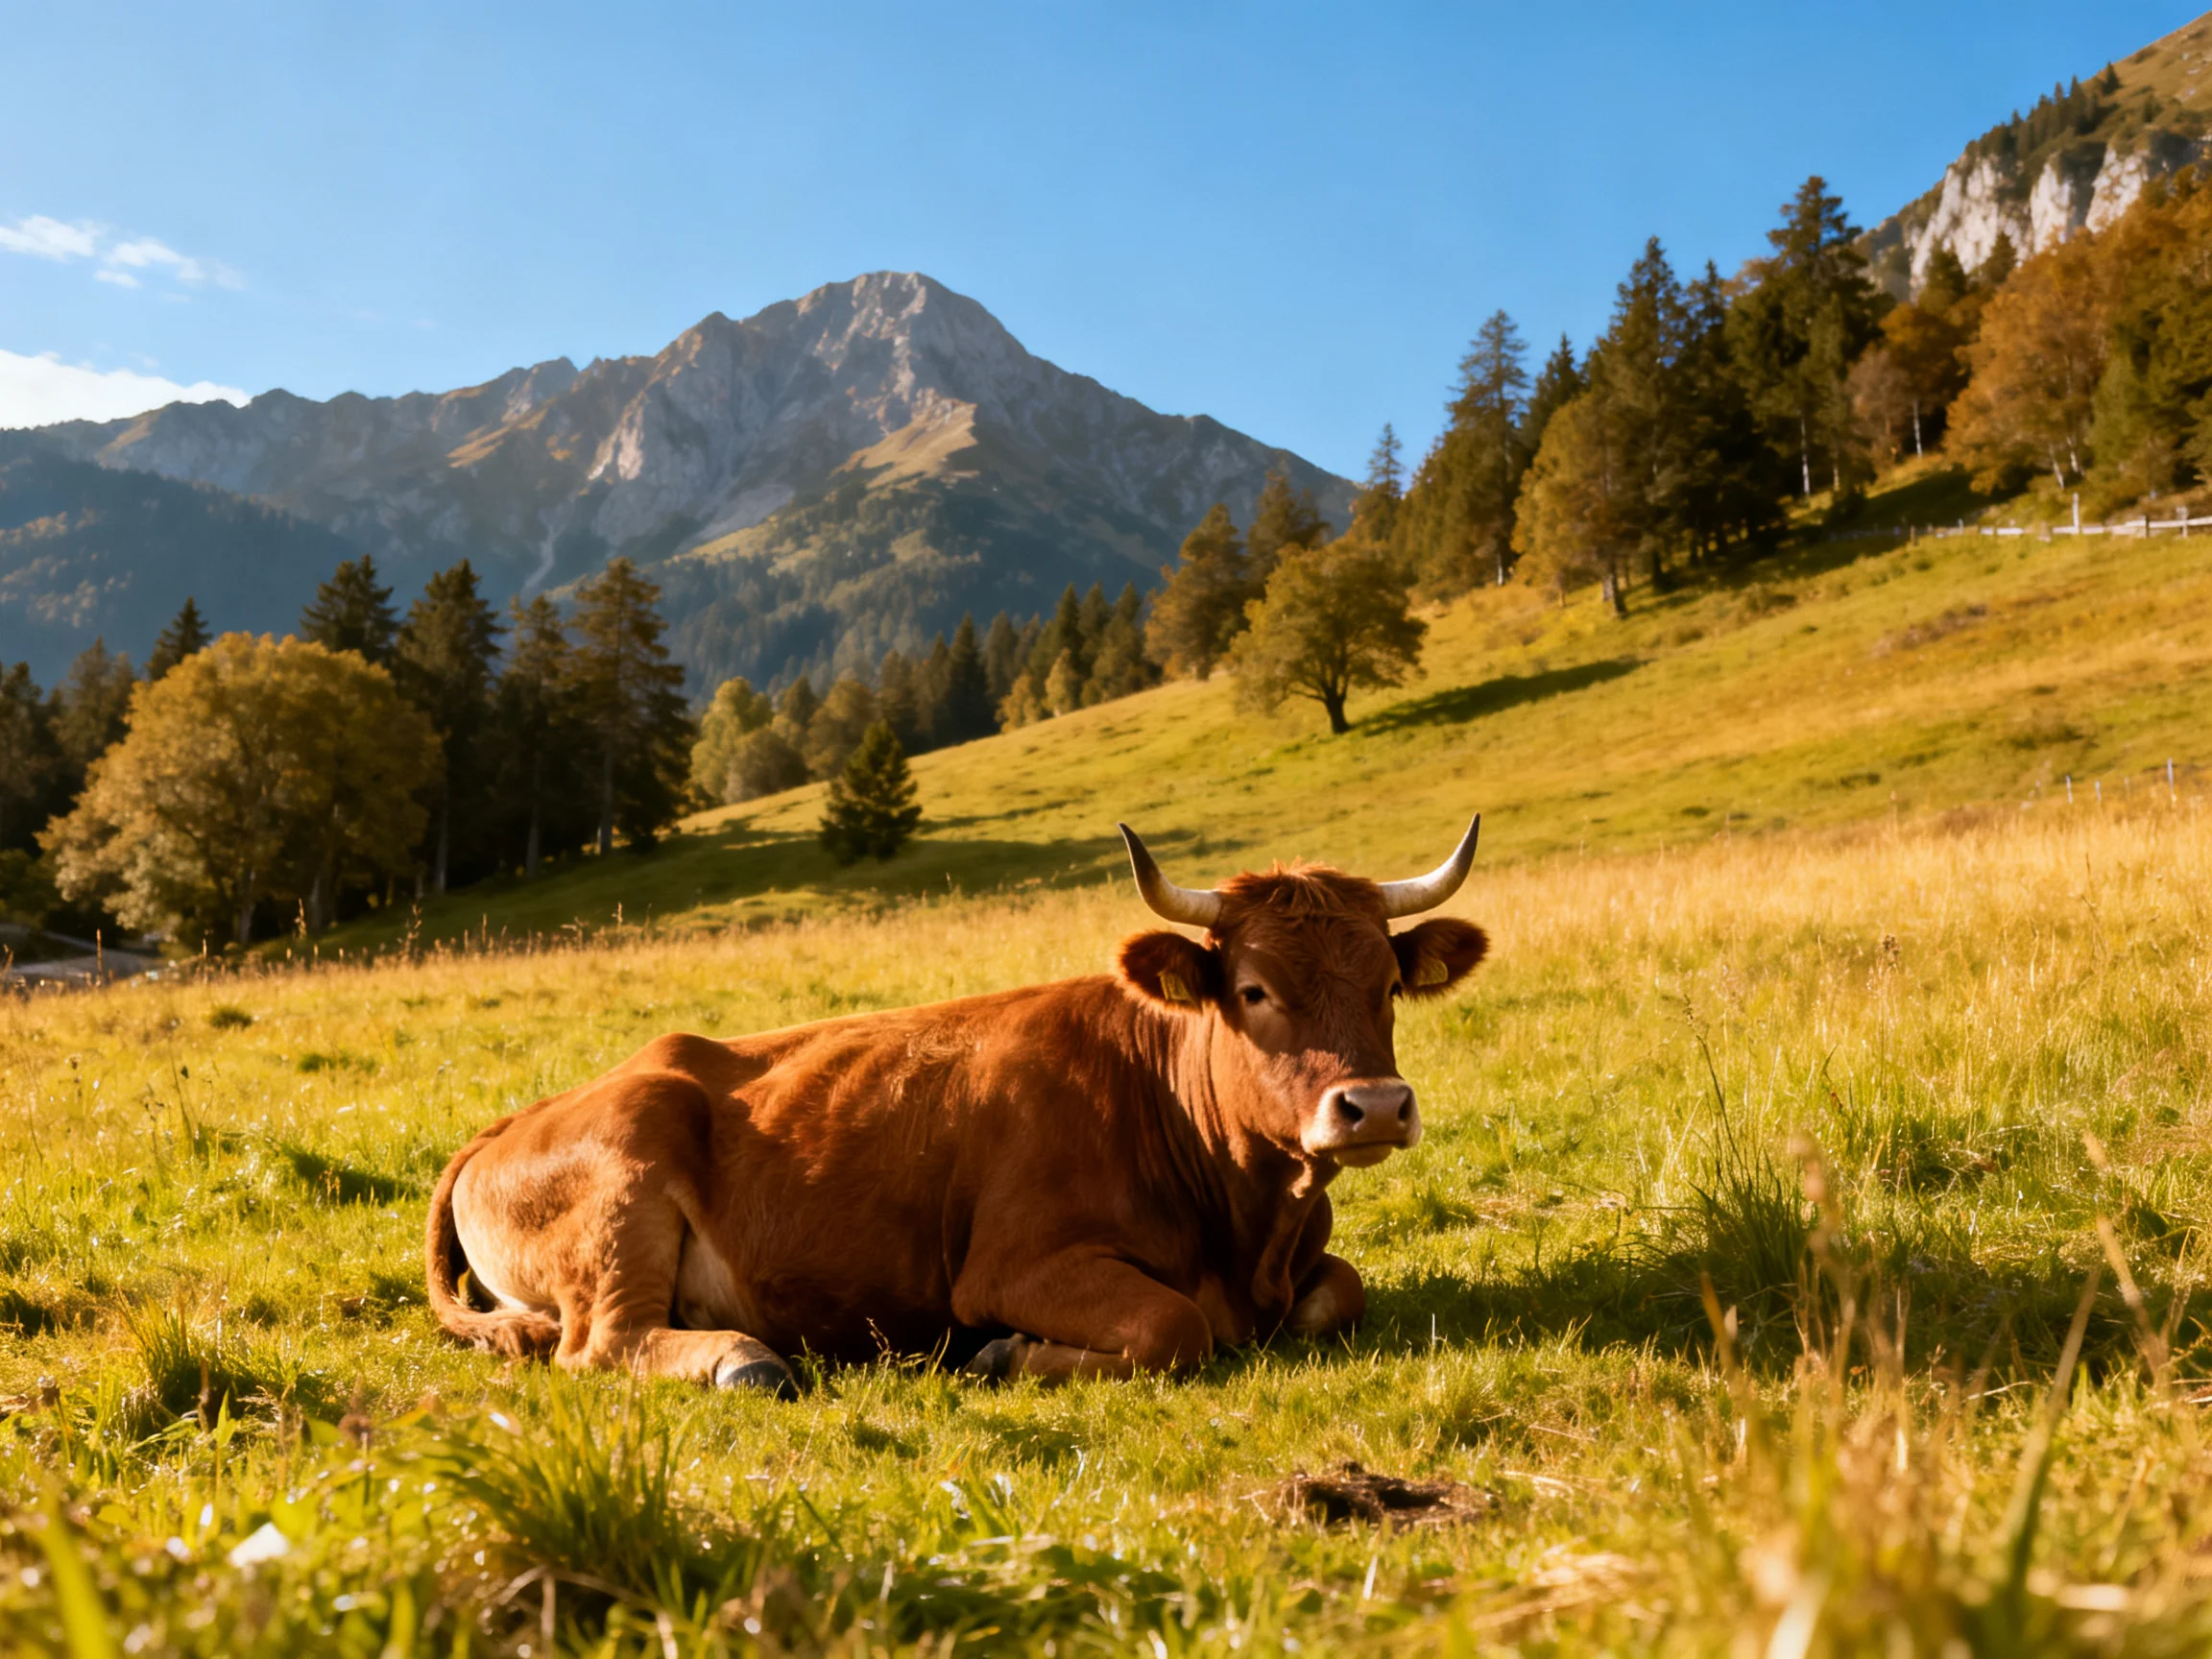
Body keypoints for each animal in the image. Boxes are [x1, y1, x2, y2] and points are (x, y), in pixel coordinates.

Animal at [424, 818, 1488, 1394]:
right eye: (1256, 989)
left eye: (1387, 985)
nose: (1373, 1107)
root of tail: (509, 1122)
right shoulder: (1015, 1263)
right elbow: (1173, 1327)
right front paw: (1003, 1356)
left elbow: (1342, 1292)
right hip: (628, 1180)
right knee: (603, 1344)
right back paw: (745, 1358)